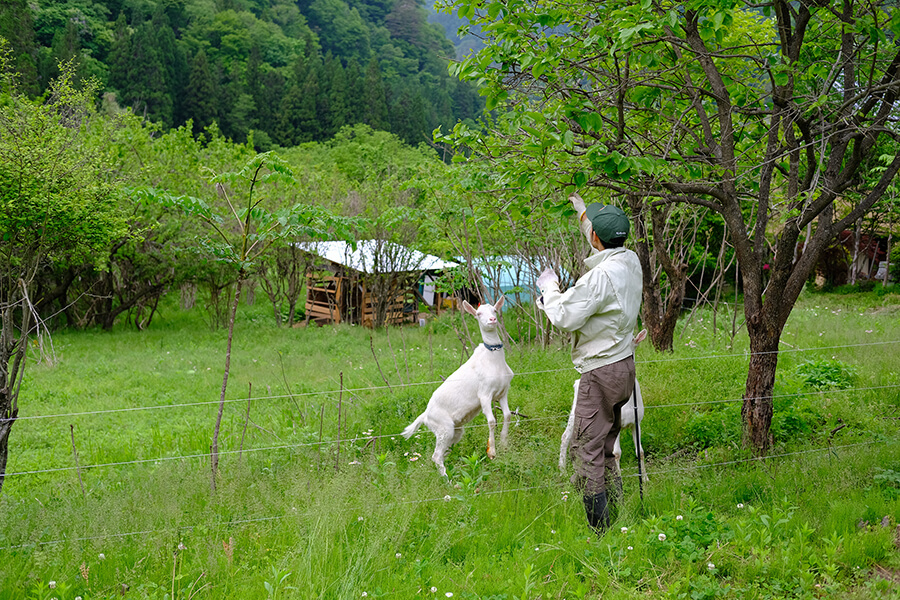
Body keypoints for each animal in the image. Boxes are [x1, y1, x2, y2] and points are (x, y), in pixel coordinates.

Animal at [400, 296, 512, 478]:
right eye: (478, 313)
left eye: (495, 310)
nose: (492, 320)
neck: (494, 360)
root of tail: (425, 416)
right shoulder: (484, 394)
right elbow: (491, 421)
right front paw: (491, 452)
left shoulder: (502, 392)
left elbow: (507, 415)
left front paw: (504, 444)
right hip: (443, 428)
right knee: (436, 456)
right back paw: (447, 480)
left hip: (455, 431)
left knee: (443, 453)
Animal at [556, 328, 648, 482]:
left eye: (633, 340)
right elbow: (617, 453)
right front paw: (619, 478)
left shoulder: (637, 421)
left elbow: (640, 451)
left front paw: (645, 480)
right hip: (576, 411)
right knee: (565, 436)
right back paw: (562, 471)